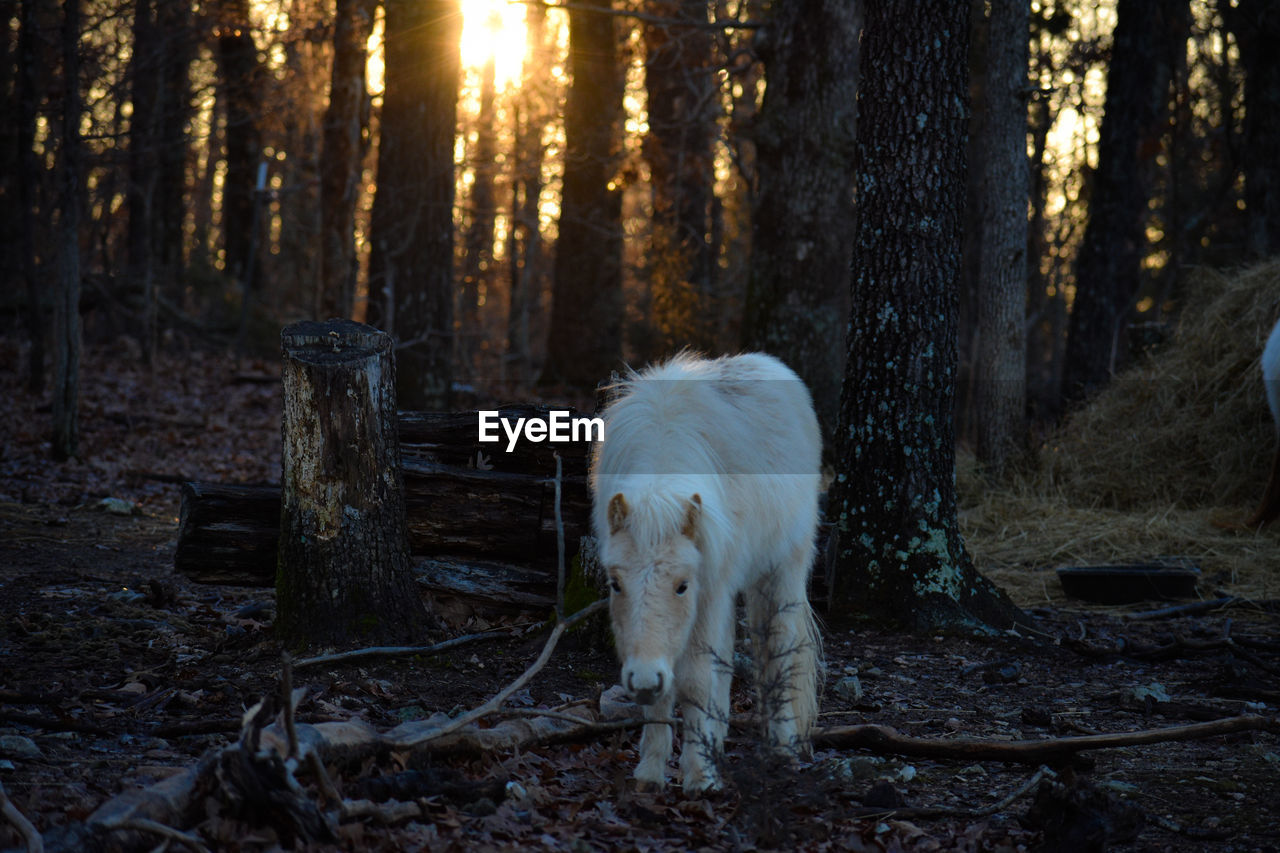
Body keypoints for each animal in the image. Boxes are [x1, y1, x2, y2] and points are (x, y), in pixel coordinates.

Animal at [588, 350, 819, 788]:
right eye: (614, 584)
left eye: (682, 585)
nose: (643, 679)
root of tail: (772, 365)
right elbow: (672, 688)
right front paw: (651, 771)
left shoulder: (709, 590)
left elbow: (695, 682)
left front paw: (699, 776)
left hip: (783, 569)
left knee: (779, 649)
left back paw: (782, 747)